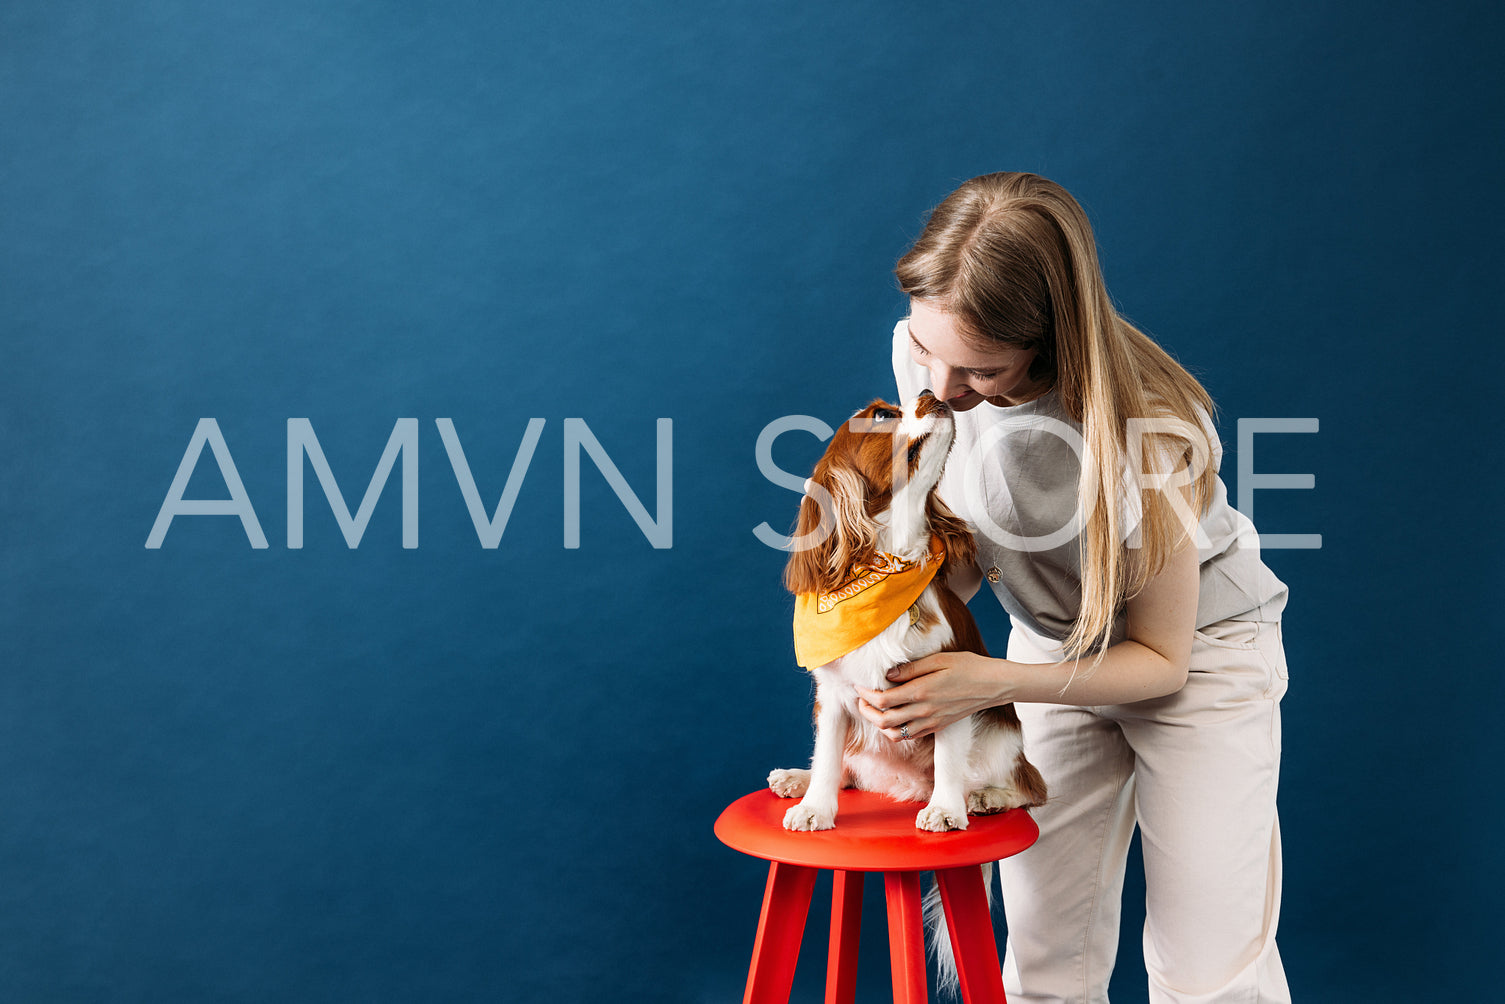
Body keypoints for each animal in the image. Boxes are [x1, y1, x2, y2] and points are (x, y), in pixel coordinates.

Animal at [764, 391, 1047, 830]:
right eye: (882, 415)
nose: (930, 392)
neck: (889, 562)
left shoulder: (949, 690)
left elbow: (948, 756)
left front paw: (945, 809)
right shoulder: (833, 694)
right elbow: (827, 756)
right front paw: (815, 808)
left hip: (1000, 740)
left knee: (1028, 784)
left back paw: (987, 797)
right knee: (846, 769)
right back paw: (796, 778)